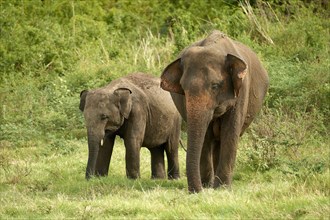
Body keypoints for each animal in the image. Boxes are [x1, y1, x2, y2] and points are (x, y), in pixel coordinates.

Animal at [161, 29, 270, 192]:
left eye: (215, 86)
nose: (197, 191)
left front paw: (222, 188)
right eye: (183, 89)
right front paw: (207, 186)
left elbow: (230, 132)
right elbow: (206, 135)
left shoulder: (241, 90)